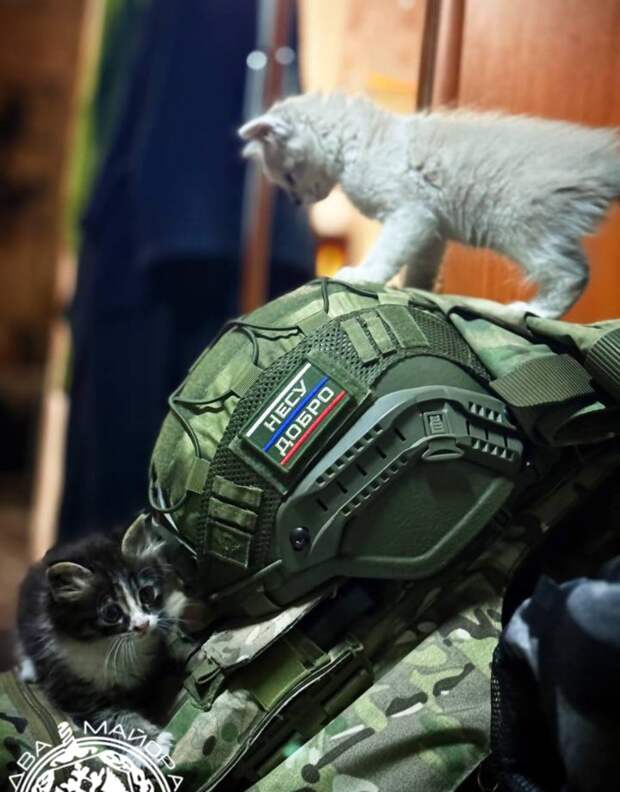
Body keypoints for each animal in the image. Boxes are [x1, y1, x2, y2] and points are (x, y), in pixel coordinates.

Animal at [16, 514, 190, 752]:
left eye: (146, 594)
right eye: (111, 613)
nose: (143, 625)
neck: (107, 643)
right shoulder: (78, 695)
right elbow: (115, 718)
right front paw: (152, 743)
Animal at [239, 92, 620, 318]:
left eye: (288, 178)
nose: (296, 200)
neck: (363, 142)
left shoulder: (409, 214)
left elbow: (387, 253)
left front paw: (364, 275)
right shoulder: (433, 229)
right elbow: (421, 267)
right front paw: (416, 290)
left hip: (519, 226)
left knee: (572, 272)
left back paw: (536, 311)